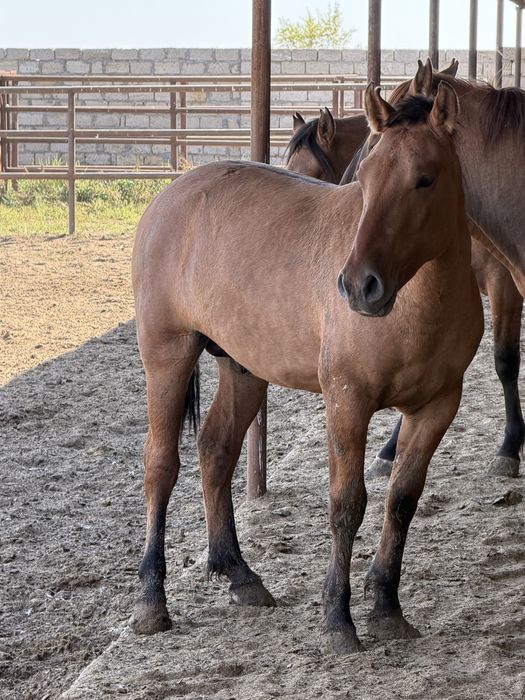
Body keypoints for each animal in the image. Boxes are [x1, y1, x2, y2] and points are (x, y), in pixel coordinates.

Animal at [131, 82, 483, 654]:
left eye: (425, 178)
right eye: (366, 177)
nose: (360, 286)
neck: (416, 305)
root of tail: (172, 194)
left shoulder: (437, 408)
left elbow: (401, 501)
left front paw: (387, 607)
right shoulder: (347, 402)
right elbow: (347, 505)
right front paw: (338, 618)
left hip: (243, 368)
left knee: (216, 450)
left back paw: (238, 572)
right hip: (167, 357)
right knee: (161, 464)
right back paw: (150, 600)